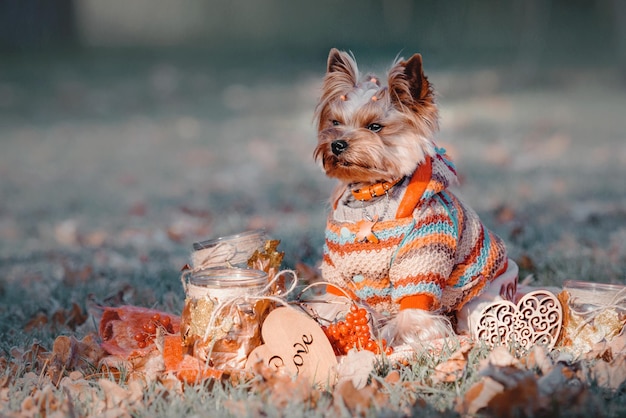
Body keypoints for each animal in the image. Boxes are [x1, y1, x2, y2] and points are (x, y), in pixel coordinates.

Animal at [310, 49, 516, 348]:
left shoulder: (424, 250)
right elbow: (335, 300)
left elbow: (413, 309)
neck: (372, 197)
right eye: (335, 122)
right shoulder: (338, 266)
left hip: (483, 295)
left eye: (375, 127)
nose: (337, 144)